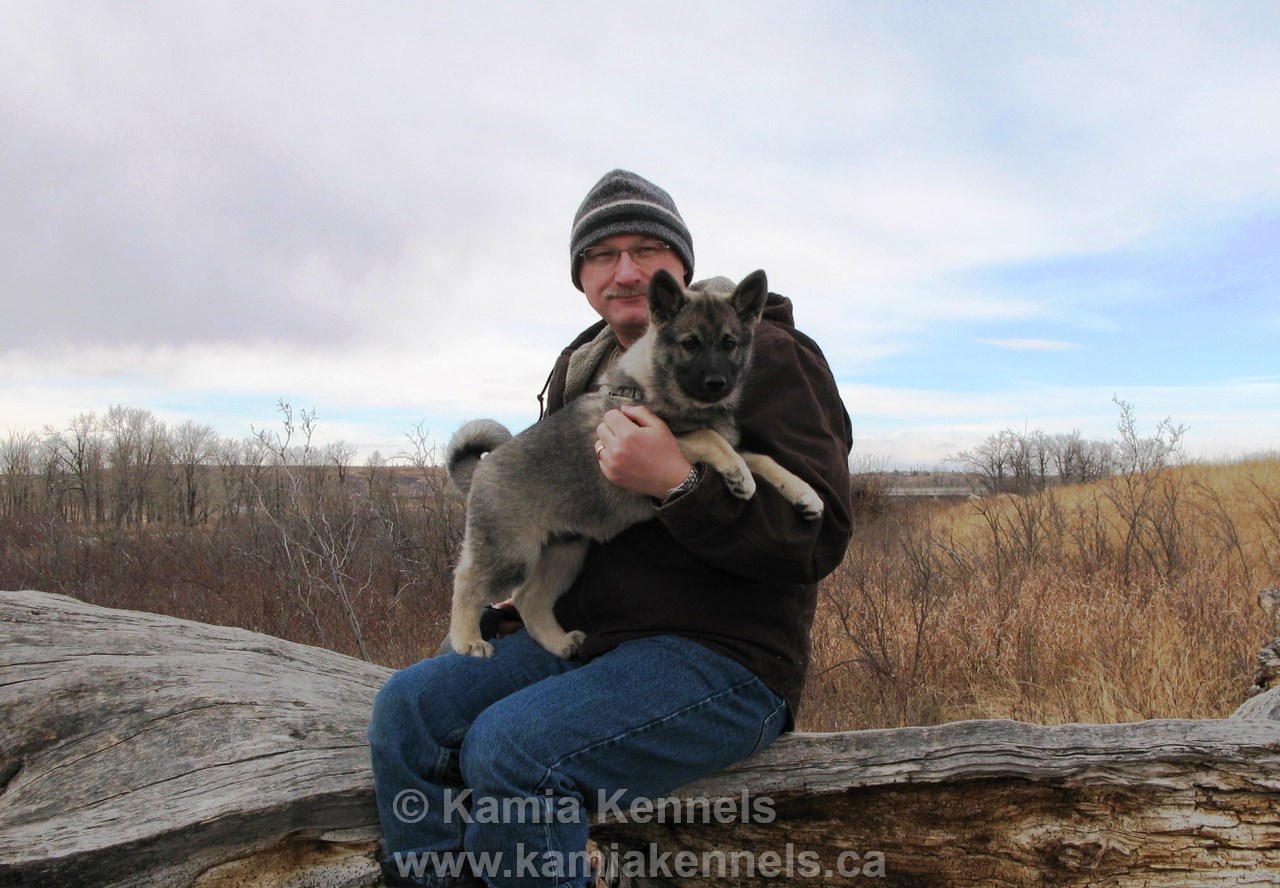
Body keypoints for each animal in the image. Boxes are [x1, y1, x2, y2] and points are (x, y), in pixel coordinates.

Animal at [445, 268, 824, 659]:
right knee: (467, 582)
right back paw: (467, 640)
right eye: (690, 344)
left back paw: (559, 642)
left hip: (567, 551)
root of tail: (480, 470)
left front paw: (804, 493)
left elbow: (762, 458)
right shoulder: (664, 435)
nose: (717, 383)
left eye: (729, 343)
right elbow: (709, 437)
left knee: (528, 598)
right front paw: (739, 475)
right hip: (510, 552)